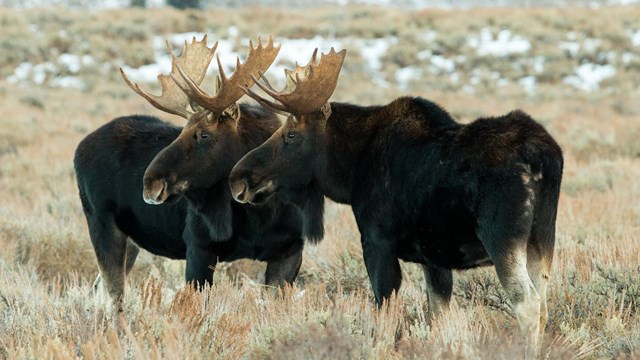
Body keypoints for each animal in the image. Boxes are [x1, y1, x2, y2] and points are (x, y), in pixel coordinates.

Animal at [74, 37, 318, 312]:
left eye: (204, 134)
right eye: (183, 129)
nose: (150, 184)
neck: (261, 213)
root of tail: (79, 147)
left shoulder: (290, 251)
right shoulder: (198, 247)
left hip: (130, 239)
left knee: (100, 290)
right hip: (101, 224)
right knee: (113, 297)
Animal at [230, 48, 564, 358]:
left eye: (291, 134)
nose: (239, 178)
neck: (350, 172)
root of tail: (544, 156)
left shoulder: (377, 241)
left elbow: (385, 315)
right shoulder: (434, 259)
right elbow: (437, 317)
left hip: (502, 239)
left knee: (528, 303)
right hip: (542, 240)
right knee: (544, 303)